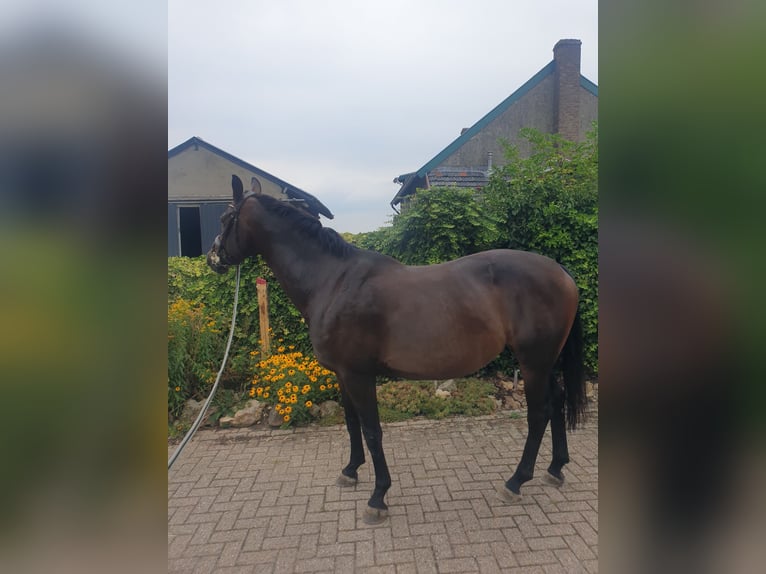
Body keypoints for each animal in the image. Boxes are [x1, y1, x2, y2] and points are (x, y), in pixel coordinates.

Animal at [207, 174, 587, 524]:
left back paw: (515, 482)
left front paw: (378, 497)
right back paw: (555, 468)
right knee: (557, 400)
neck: (333, 281)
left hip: (533, 362)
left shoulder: (359, 375)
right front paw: (350, 471)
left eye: (226, 218)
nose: (213, 258)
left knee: (538, 414)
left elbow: (373, 431)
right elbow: (351, 423)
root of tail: (562, 272)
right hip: (544, 363)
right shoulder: (343, 374)